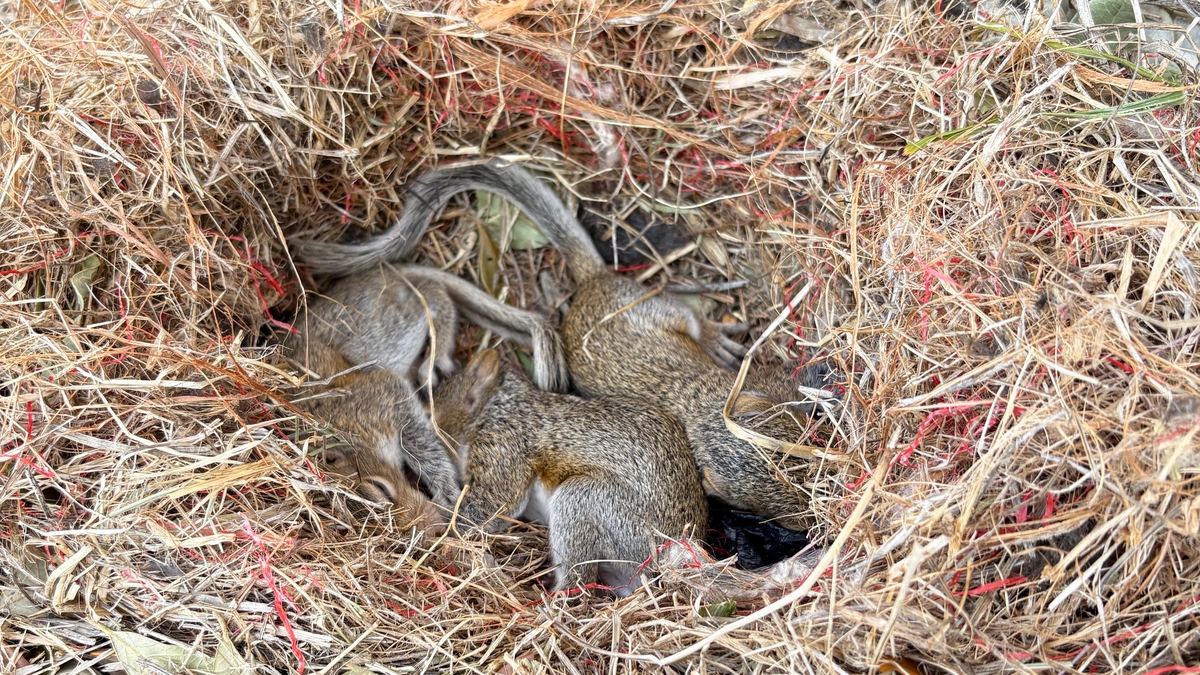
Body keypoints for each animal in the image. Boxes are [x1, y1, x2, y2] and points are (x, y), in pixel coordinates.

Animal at [282, 263, 569, 527]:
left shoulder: (380, 399)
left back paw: (433, 361)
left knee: (432, 296)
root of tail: (384, 271)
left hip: (382, 335)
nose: (425, 523)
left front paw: (448, 492)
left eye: (380, 488)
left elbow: (423, 445)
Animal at [431, 347, 707, 595]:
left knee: (579, 578)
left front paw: (442, 524)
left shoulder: (503, 447)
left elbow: (489, 507)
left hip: (594, 506)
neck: (494, 409)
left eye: (432, 409)